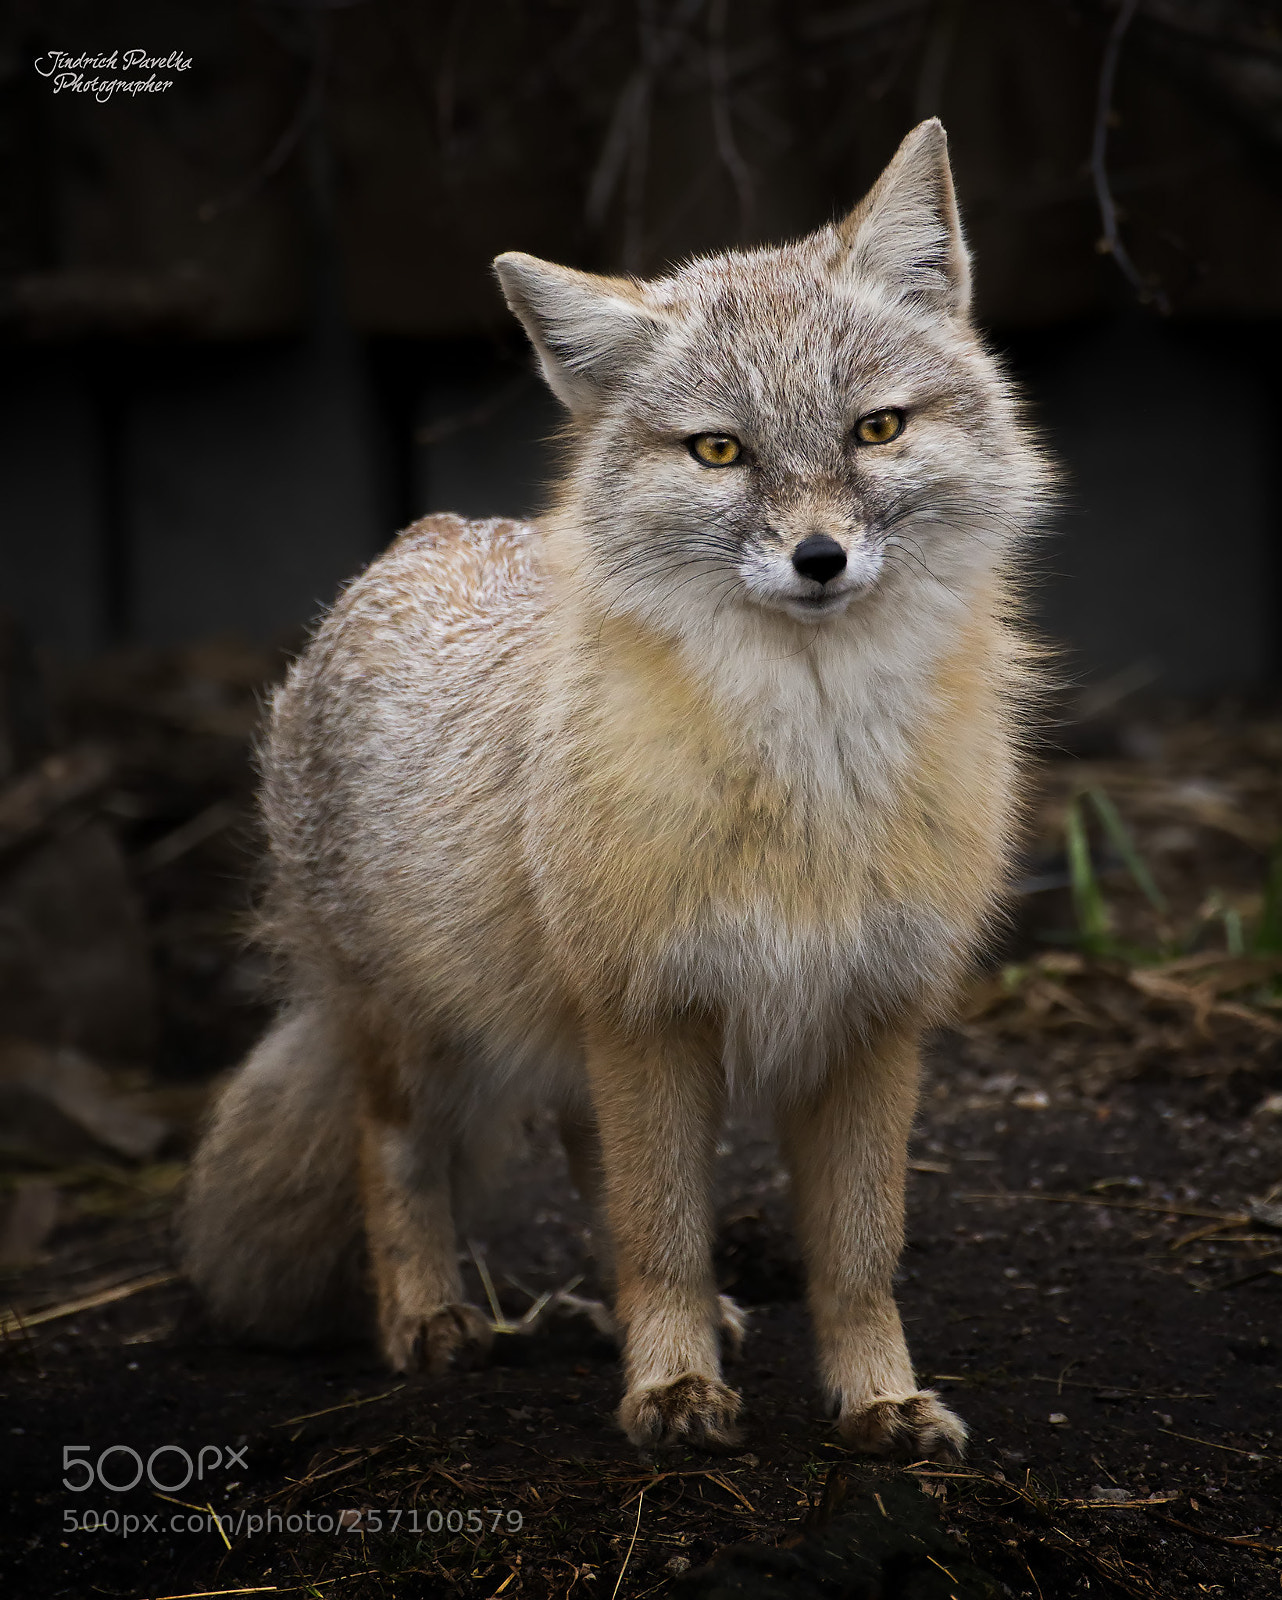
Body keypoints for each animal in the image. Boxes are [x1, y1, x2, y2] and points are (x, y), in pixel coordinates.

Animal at [182, 119, 1049, 1457]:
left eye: (875, 430)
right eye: (719, 450)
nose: (819, 558)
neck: (808, 768)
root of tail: (426, 533)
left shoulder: (867, 1014)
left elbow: (854, 1254)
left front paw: (876, 1399)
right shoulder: (649, 1006)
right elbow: (663, 1234)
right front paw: (672, 1387)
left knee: (595, 1161)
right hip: (419, 1032)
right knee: (401, 1154)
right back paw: (426, 1312)